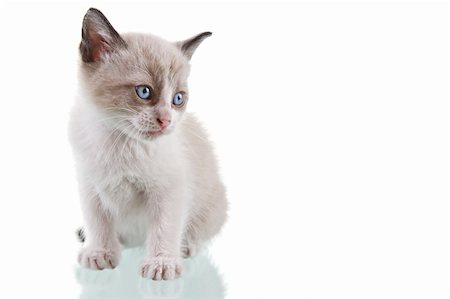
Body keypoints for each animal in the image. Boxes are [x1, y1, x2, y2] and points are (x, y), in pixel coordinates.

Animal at [69, 7, 229, 282]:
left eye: (178, 99)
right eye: (144, 92)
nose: (166, 121)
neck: (120, 141)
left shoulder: (170, 189)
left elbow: (165, 226)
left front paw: (162, 263)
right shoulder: (90, 186)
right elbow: (98, 221)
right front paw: (100, 252)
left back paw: (185, 246)